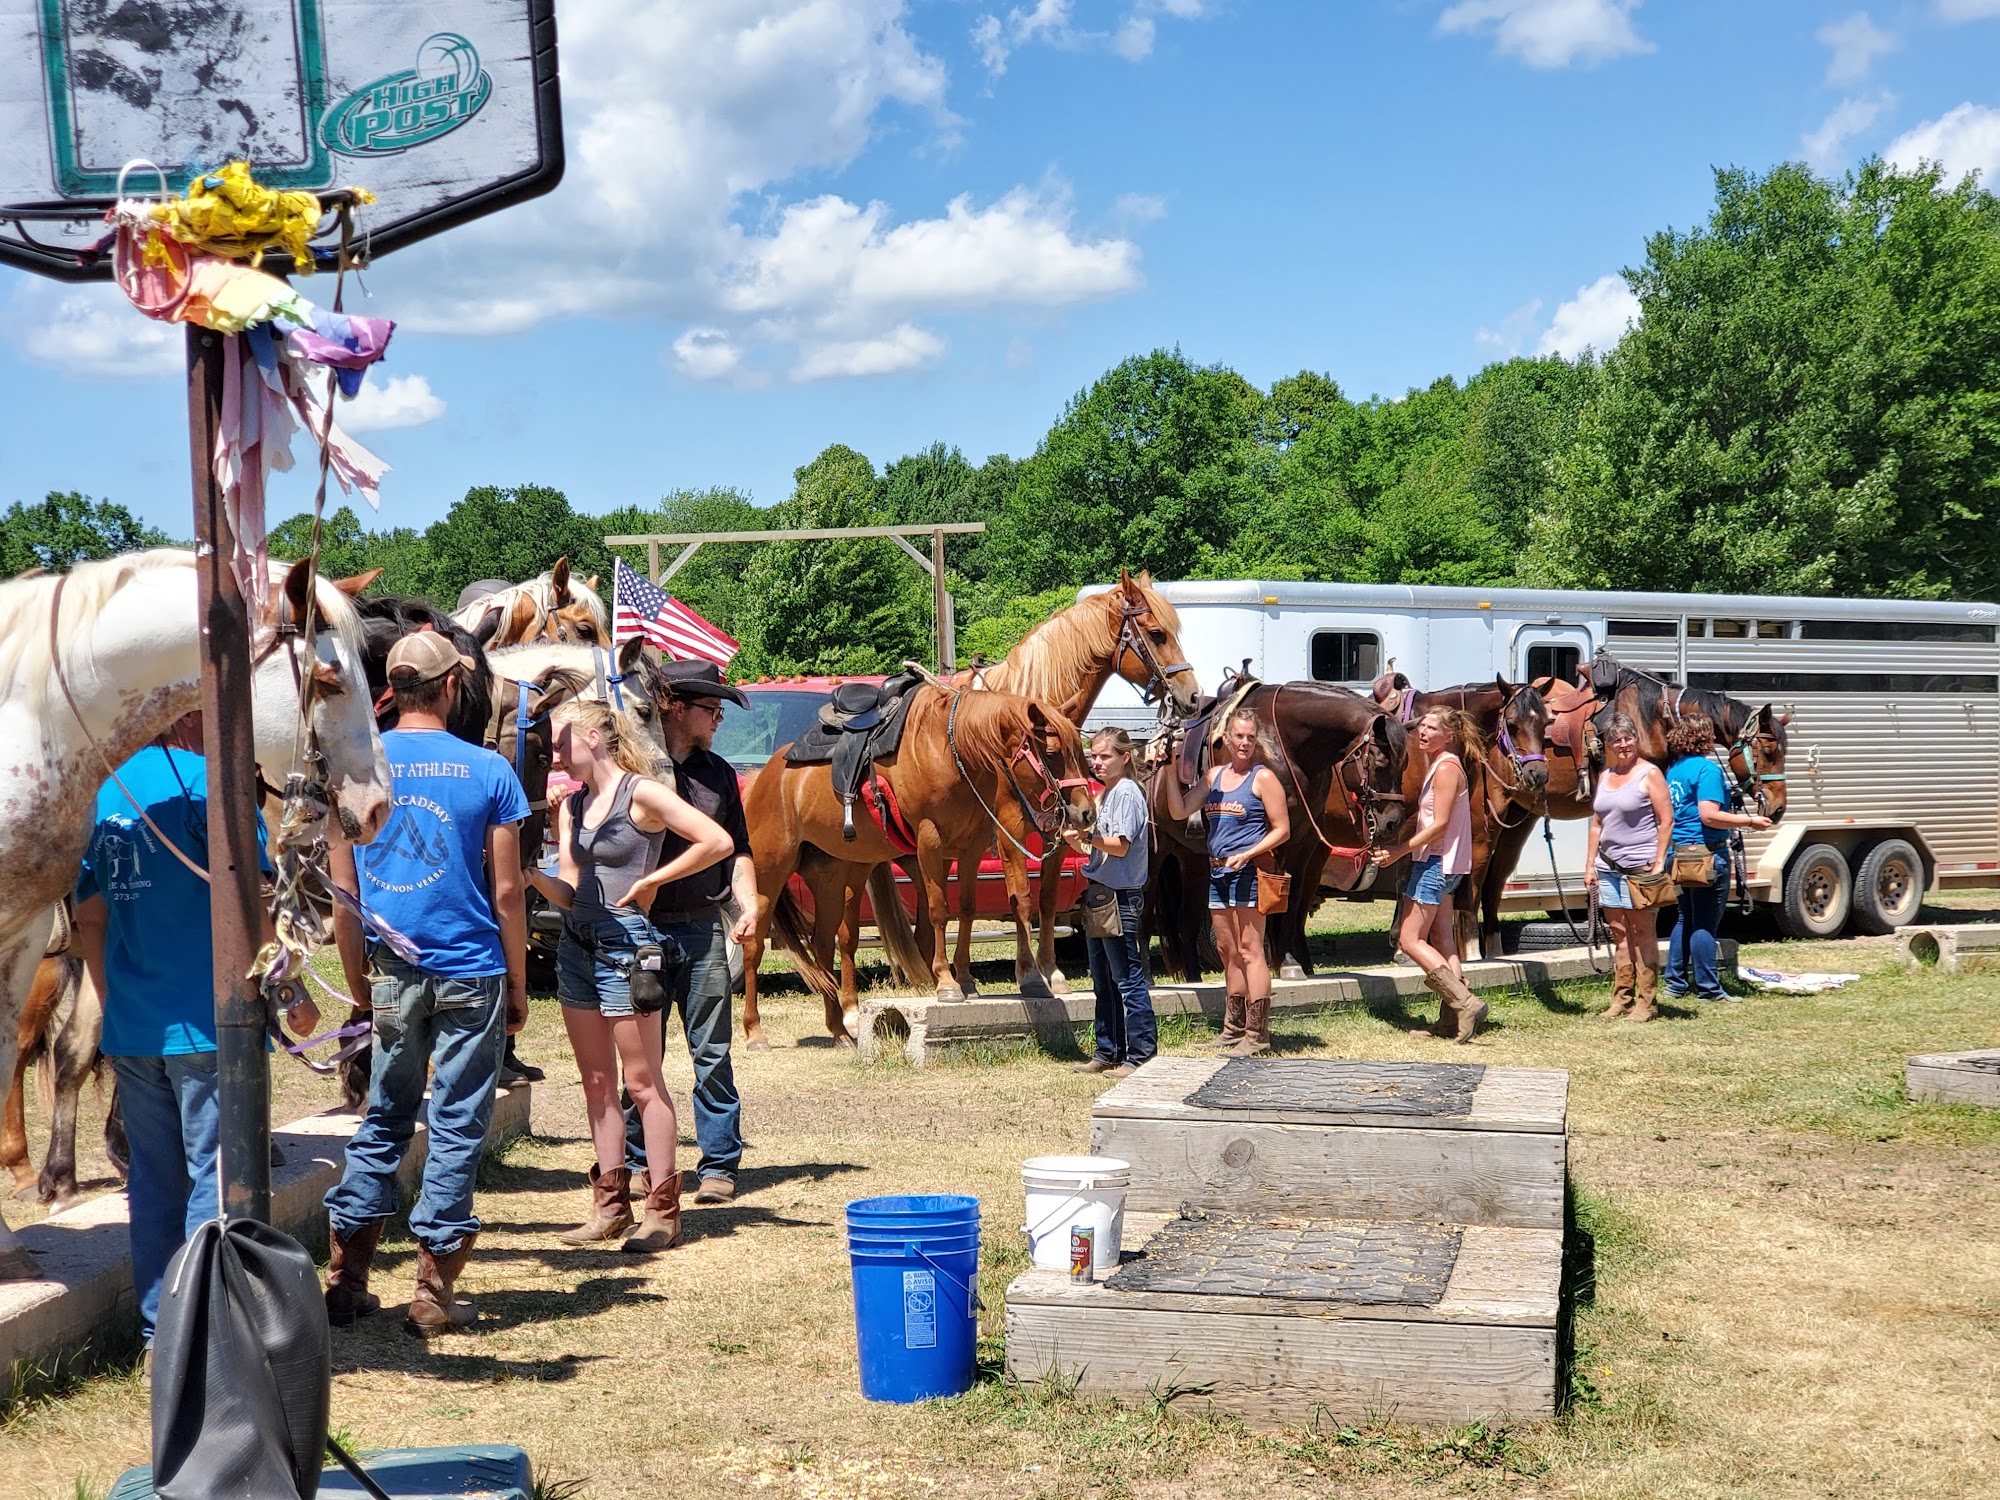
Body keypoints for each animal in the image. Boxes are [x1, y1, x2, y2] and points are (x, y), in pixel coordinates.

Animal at [740, 686, 1095, 1049]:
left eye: (1079, 752)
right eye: (1051, 753)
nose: (1085, 813)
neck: (951, 754)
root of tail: (763, 778)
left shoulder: (970, 846)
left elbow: (966, 909)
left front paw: (966, 979)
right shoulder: (931, 842)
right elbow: (940, 911)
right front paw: (948, 983)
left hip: (829, 878)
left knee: (824, 946)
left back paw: (839, 1031)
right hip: (769, 874)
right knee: (753, 945)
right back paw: (755, 1033)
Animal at [1150, 683, 1409, 983]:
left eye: (1405, 763)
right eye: (1380, 762)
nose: (1394, 821)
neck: (1283, 741)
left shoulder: (1303, 840)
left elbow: (1291, 896)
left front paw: (1289, 961)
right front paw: (1280, 962)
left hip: (1192, 858)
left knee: (1186, 921)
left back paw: (1194, 978)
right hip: (1155, 854)